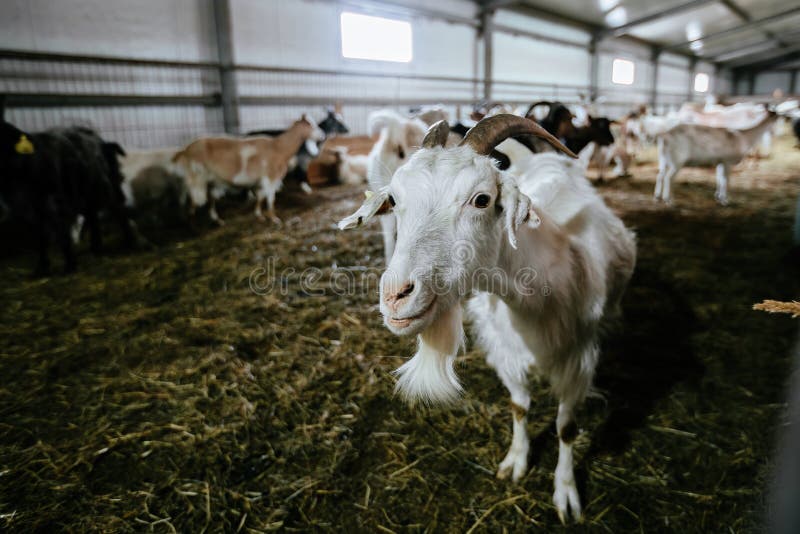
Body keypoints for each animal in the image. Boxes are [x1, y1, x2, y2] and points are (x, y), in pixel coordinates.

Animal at [173, 115, 324, 224]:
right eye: (309, 124)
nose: (322, 135)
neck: (278, 148)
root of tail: (186, 149)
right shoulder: (270, 177)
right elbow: (270, 199)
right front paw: (273, 218)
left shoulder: (264, 179)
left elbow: (261, 196)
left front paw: (259, 215)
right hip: (197, 176)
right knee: (194, 201)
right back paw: (192, 224)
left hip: (210, 179)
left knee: (208, 197)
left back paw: (216, 219)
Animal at [339, 115, 636, 523]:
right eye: (395, 200)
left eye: (481, 199)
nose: (395, 296)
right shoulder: (505, 353)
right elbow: (519, 406)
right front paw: (516, 461)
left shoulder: (579, 359)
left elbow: (566, 427)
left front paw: (566, 493)